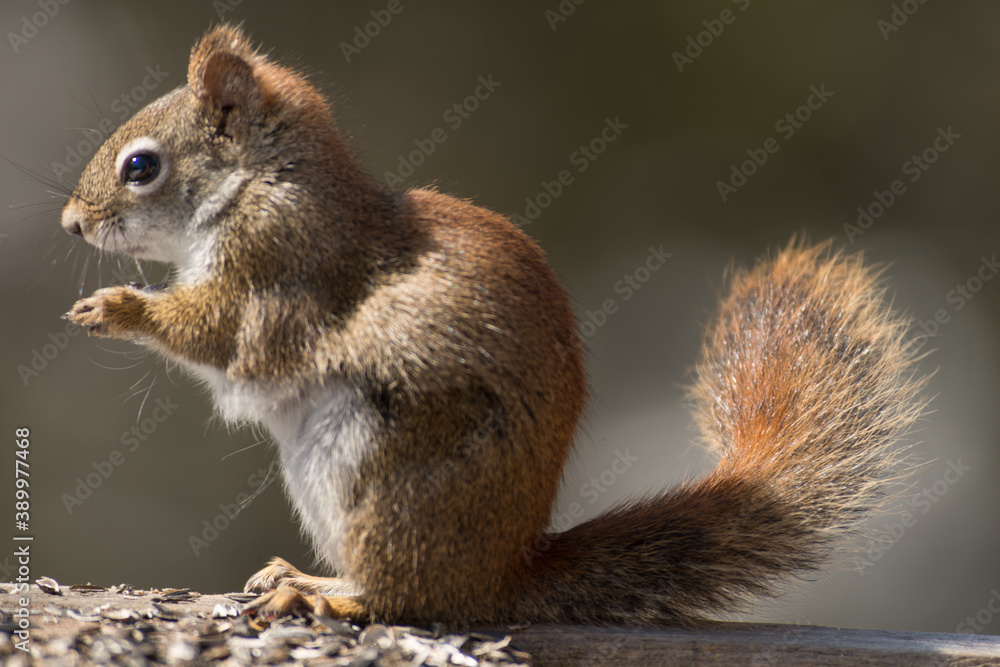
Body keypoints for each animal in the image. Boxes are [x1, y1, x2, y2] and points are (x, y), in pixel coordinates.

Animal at [61, 25, 926, 626]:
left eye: (142, 166)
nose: (72, 223)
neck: (263, 179)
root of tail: (501, 573)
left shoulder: (278, 264)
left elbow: (224, 335)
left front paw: (117, 307)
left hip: (390, 478)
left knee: (406, 597)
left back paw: (324, 593)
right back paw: (298, 576)